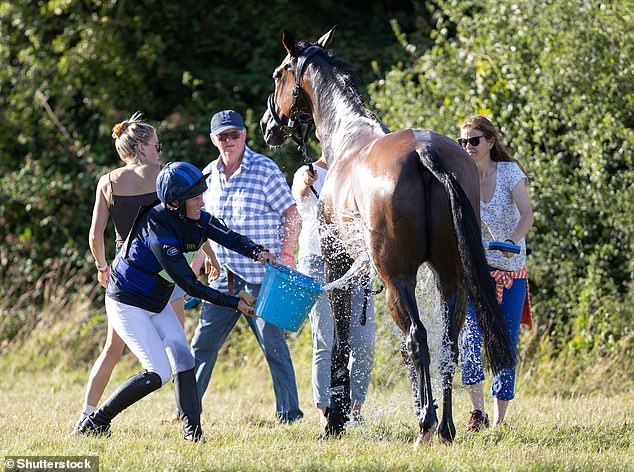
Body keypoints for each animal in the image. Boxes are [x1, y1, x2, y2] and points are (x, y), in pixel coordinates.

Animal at [258, 27, 512, 444]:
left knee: (417, 340)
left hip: (398, 282)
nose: (267, 125)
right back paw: (445, 426)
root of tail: (426, 152)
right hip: (450, 278)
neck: (347, 138)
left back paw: (425, 424)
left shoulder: (339, 264)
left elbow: (342, 342)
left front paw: (335, 421)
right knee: (448, 346)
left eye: (280, 73)